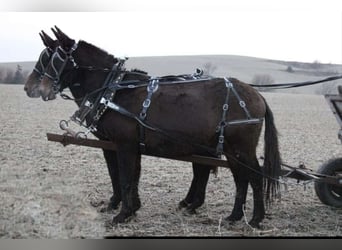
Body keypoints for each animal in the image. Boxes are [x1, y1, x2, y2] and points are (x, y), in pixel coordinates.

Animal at [36, 26, 280, 227]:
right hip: (230, 149)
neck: (115, 91)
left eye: (55, 58)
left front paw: (122, 214)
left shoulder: (123, 144)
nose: (37, 88)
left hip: (241, 148)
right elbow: (132, 176)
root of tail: (258, 95)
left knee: (254, 177)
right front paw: (131, 209)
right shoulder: (130, 145)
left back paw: (255, 219)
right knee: (239, 177)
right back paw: (233, 216)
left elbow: (125, 177)